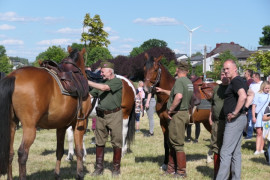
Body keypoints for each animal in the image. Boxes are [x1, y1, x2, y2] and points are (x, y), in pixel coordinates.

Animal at [0, 47, 92, 179]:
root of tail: (14, 76)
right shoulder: (80, 123)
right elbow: (79, 151)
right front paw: (79, 174)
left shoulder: (61, 126)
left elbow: (59, 151)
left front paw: (57, 174)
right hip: (29, 127)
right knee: (22, 154)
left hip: (11, 125)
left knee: (10, 152)